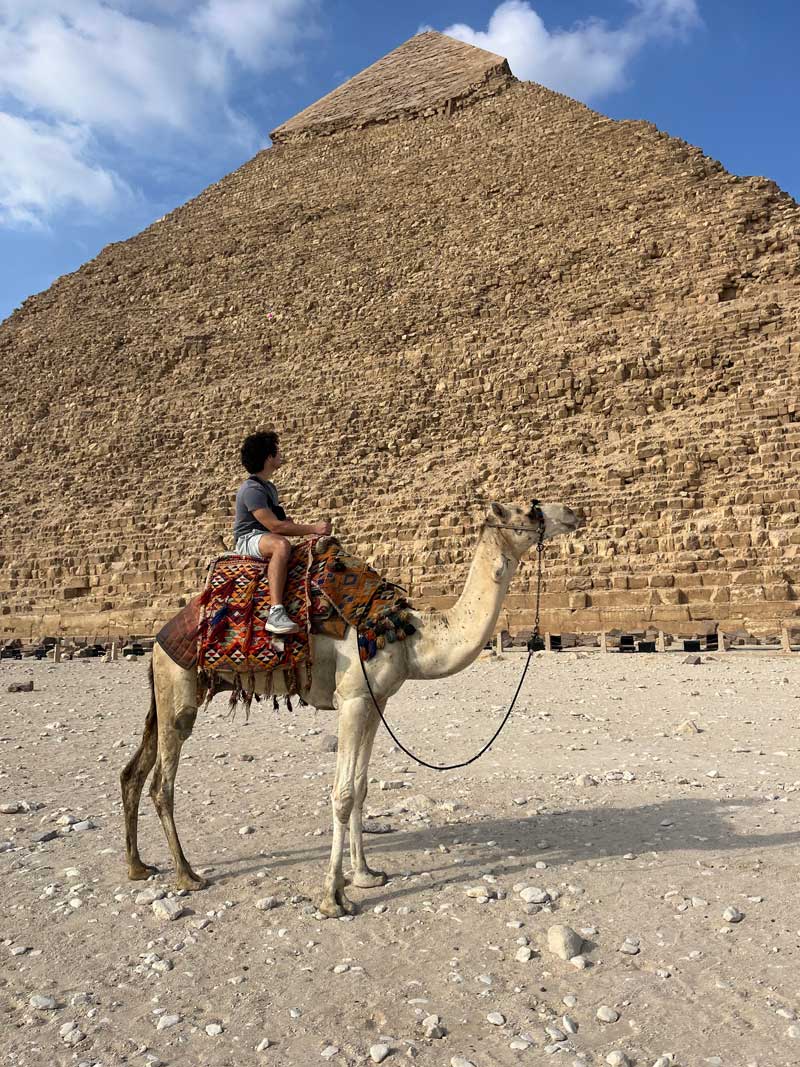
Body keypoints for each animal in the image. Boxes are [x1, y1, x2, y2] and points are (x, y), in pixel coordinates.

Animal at [121, 500, 579, 917]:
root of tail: (158, 638)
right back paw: (187, 874)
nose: (574, 513)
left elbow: (360, 788)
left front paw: (365, 874)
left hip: (167, 691)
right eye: (531, 511)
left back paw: (138, 866)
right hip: (179, 688)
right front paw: (333, 898)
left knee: (132, 773)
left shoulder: (377, 704)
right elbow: (341, 795)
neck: (408, 635)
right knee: (162, 782)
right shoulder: (353, 701)